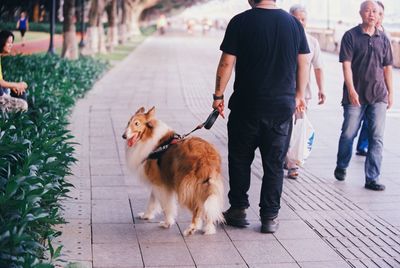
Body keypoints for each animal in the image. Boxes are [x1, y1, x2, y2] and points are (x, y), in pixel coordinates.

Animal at [123, 106, 225, 234]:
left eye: (137, 123)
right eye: (128, 123)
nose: (124, 136)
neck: (149, 137)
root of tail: (208, 158)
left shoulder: (160, 184)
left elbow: (166, 205)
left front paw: (167, 223)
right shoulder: (158, 181)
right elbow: (152, 200)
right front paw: (146, 215)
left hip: (184, 186)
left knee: (198, 207)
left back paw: (192, 228)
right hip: (205, 185)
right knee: (206, 205)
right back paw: (209, 228)